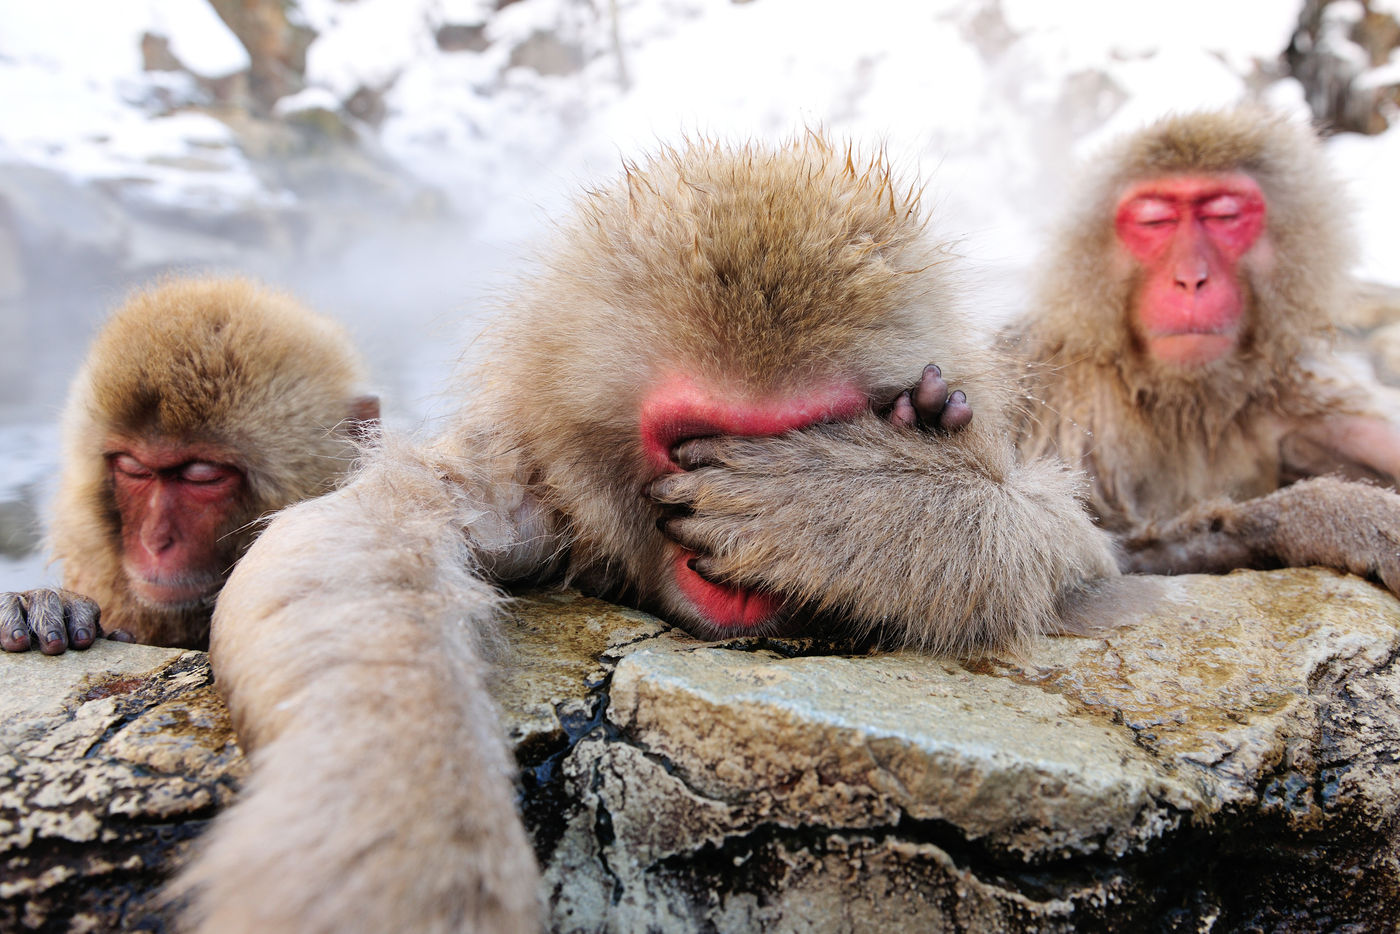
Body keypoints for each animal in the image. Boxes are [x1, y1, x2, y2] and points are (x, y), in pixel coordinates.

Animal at [1013, 109, 1400, 588]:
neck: (1180, 401)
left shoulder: (1283, 391)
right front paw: (1347, 515)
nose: (1190, 278)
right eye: (1155, 221)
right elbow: (1099, 555)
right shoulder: (1063, 404)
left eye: (1223, 215)